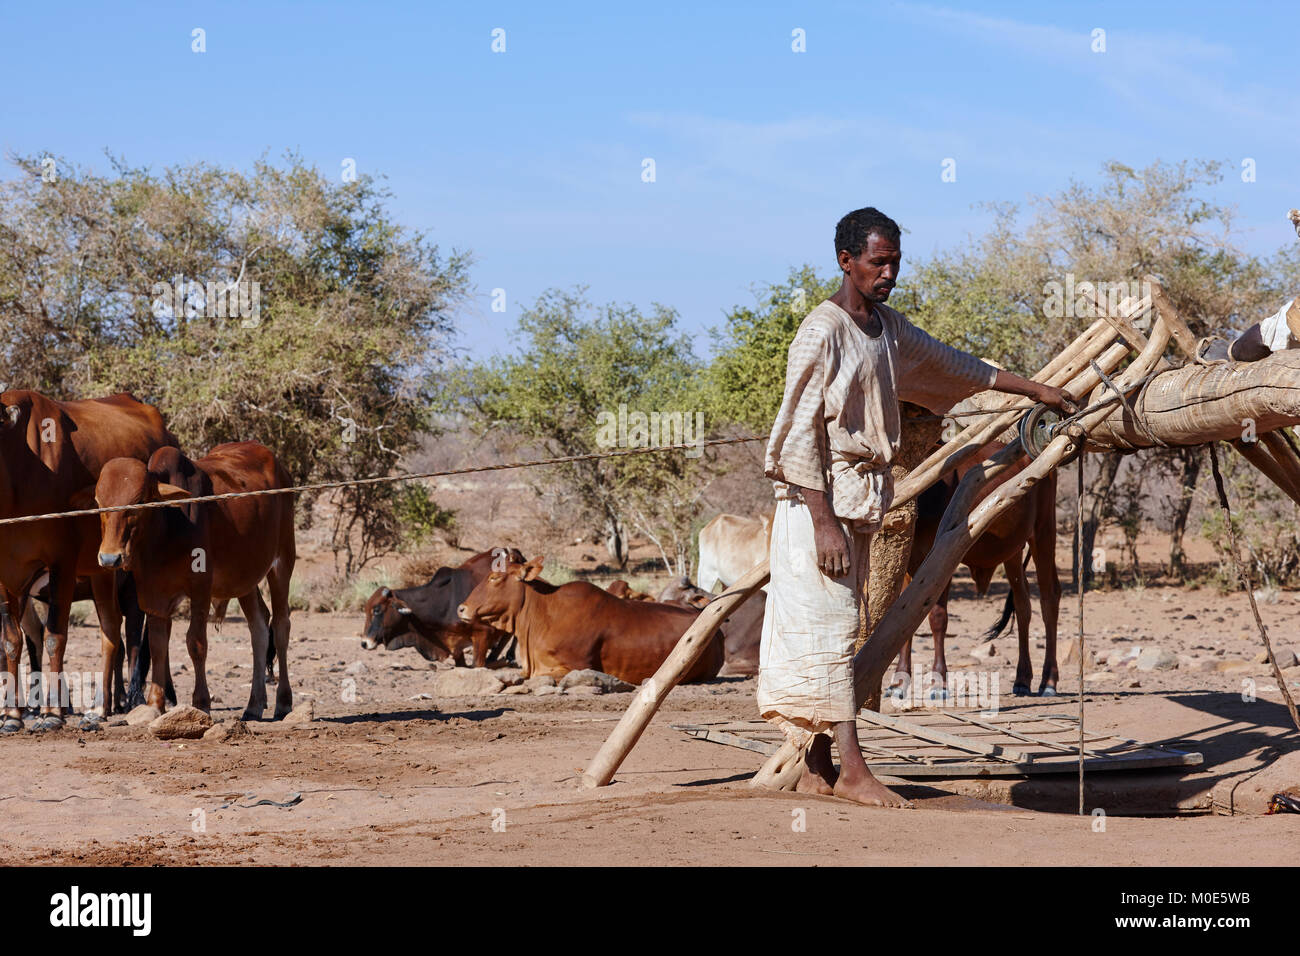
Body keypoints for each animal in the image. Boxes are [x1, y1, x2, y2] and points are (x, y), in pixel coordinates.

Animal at [0, 390, 176, 733]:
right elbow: (12, 642)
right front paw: (12, 716)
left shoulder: (62, 564)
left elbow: (54, 638)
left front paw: (52, 714)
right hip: (102, 569)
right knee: (111, 628)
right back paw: (98, 709)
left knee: (143, 632)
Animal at [96, 442, 299, 717]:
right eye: (99, 502)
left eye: (138, 502)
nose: (110, 558)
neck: (166, 528)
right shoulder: (153, 595)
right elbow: (158, 645)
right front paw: (155, 703)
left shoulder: (201, 588)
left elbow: (196, 642)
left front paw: (201, 702)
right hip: (245, 577)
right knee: (258, 626)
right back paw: (254, 704)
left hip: (282, 562)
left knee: (280, 626)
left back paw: (283, 701)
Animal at [894, 442, 1066, 702]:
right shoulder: (910, 565)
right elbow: (904, 619)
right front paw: (899, 681)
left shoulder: (942, 560)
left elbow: (937, 617)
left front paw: (939, 682)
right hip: (1012, 549)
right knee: (1022, 604)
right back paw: (1022, 680)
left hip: (1043, 530)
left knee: (1049, 598)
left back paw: (1049, 681)